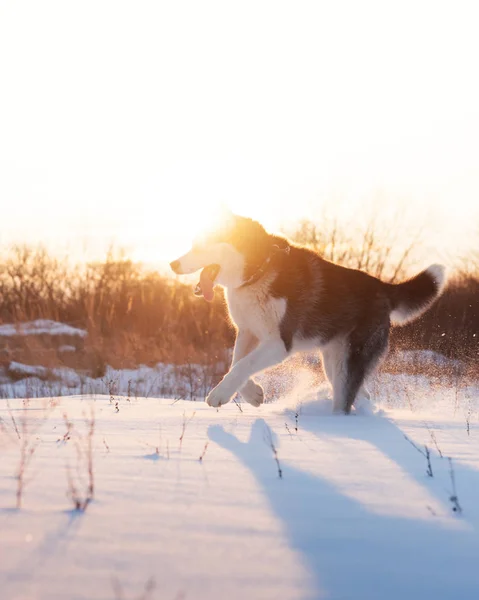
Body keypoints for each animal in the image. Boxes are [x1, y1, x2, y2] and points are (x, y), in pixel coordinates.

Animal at [171, 210, 448, 412]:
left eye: (202, 244)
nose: (172, 264)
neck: (259, 271)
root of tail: (381, 287)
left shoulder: (280, 343)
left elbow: (242, 365)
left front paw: (219, 394)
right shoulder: (249, 331)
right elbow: (236, 362)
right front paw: (252, 394)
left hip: (349, 362)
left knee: (344, 400)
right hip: (333, 362)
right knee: (360, 392)